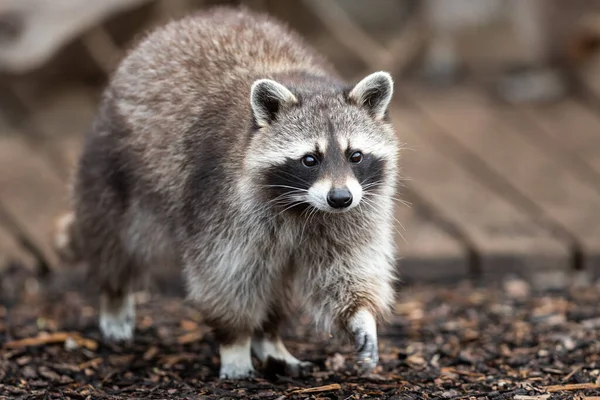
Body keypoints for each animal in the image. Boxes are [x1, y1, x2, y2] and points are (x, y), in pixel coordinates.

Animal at [62, 7, 398, 382]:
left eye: (356, 156)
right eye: (310, 160)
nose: (340, 199)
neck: (302, 205)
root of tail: (194, 19)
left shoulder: (357, 208)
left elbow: (346, 264)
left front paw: (360, 314)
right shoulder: (222, 201)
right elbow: (227, 274)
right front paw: (235, 342)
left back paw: (270, 338)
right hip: (118, 168)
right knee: (117, 238)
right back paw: (115, 297)